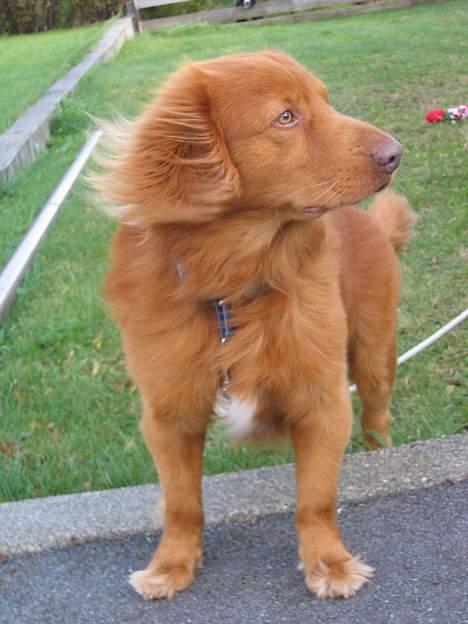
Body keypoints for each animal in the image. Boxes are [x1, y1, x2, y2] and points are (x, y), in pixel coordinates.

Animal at [93, 51, 414, 604]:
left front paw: (328, 562)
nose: (396, 153)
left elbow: (315, 499)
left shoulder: (324, 399)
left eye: (324, 101)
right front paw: (170, 565)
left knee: (377, 414)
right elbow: (182, 503)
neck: (234, 283)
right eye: (285, 117)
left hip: (374, 355)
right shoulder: (168, 413)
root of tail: (371, 223)